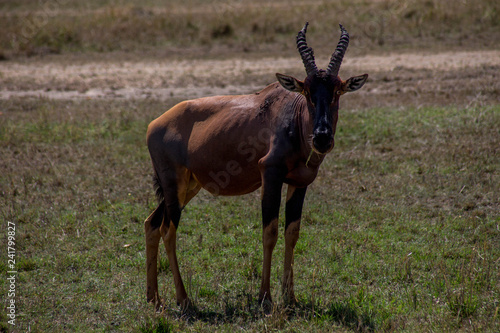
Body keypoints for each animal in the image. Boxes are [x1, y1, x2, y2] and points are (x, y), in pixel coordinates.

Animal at [144, 22, 368, 310]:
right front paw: (265, 298)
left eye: (337, 91)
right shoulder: (270, 175)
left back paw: (154, 298)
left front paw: (290, 297)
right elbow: (269, 232)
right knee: (167, 229)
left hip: (188, 187)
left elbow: (292, 232)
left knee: (151, 223)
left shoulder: (300, 183)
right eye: (307, 91)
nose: (322, 138)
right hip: (174, 184)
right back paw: (183, 300)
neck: (293, 115)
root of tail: (155, 124)